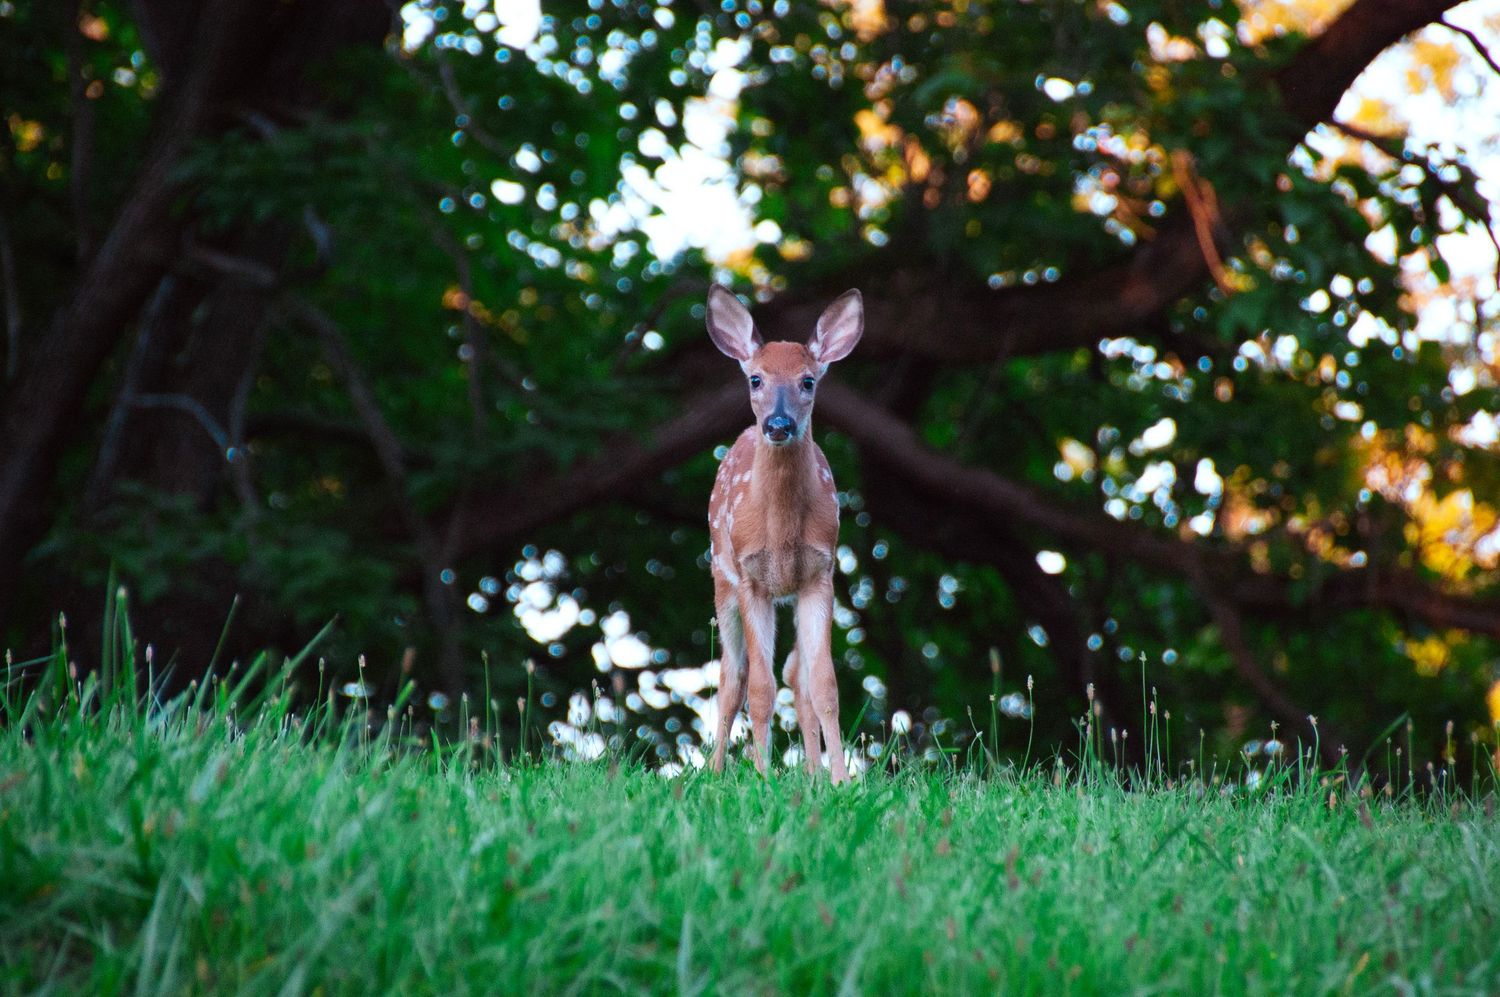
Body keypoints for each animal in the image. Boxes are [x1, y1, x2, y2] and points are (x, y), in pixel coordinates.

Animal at [703, 285, 863, 784]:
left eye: (808, 381)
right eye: (756, 379)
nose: (778, 425)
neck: (781, 532)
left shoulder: (820, 574)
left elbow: (824, 684)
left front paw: (839, 780)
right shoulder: (750, 578)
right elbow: (759, 687)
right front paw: (762, 776)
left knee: (798, 677)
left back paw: (811, 773)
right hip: (722, 578)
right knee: (731, 677)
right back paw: (715, 771)